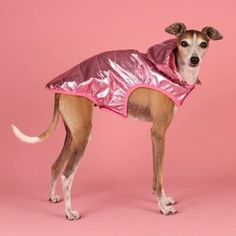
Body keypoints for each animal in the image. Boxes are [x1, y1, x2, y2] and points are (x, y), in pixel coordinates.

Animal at [12, 22, 223, 219]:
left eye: (203, 44)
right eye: (183, 43)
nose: (194, 59)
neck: (173, 69)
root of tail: (59, 87)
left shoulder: (155, 136)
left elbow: (156, 176)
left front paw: (164, 199)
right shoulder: (158, 132)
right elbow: (160, 174)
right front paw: (163, 207)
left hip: (72, 135)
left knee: (56, 166)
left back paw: (53, 197)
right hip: (83, 135)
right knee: (67, 175)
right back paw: (70, 213)